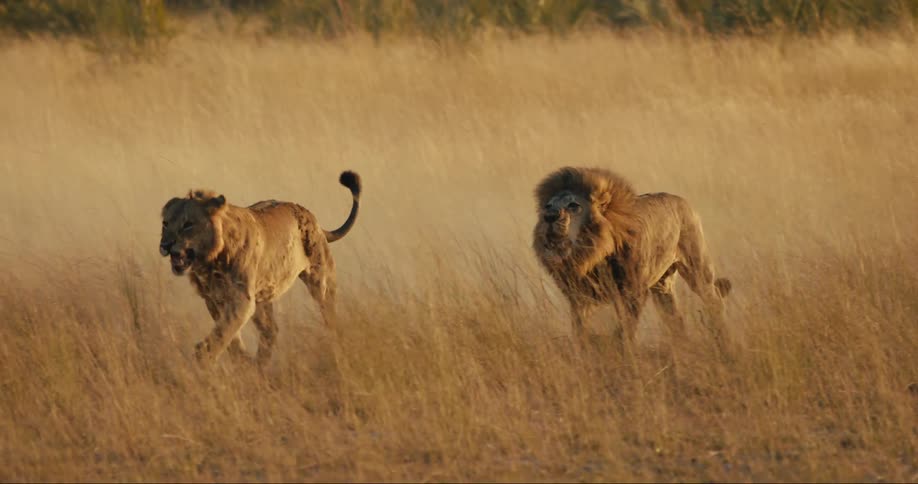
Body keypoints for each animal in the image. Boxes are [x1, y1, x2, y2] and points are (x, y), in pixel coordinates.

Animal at [159, 171, 361, 366]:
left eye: (188, 225)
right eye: (165, 223)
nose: (165, 245)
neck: (209, 262)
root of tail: (313, 219)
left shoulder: (242, 299)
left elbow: (224, 331)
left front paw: (204, 355)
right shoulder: (213, 299)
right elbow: (229, 334)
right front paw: (240, 360)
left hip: (322, 281)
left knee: (329, 316)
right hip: (263, 296)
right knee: (271, 330)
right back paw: (259, 366)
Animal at [533, 167, 732, 357]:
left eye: (573, 205)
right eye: (548, 206)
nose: (549, 216)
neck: (590, 256)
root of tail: (680, 199)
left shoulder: (632, 292)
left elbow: (624, 330)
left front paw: (624, 355)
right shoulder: (580, 297)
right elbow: (580, 330)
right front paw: (583, 354)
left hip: (698, 270)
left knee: (714, 300)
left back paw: (724, 344)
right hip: (662, 286)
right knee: (675, 318)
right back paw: (683, 349)